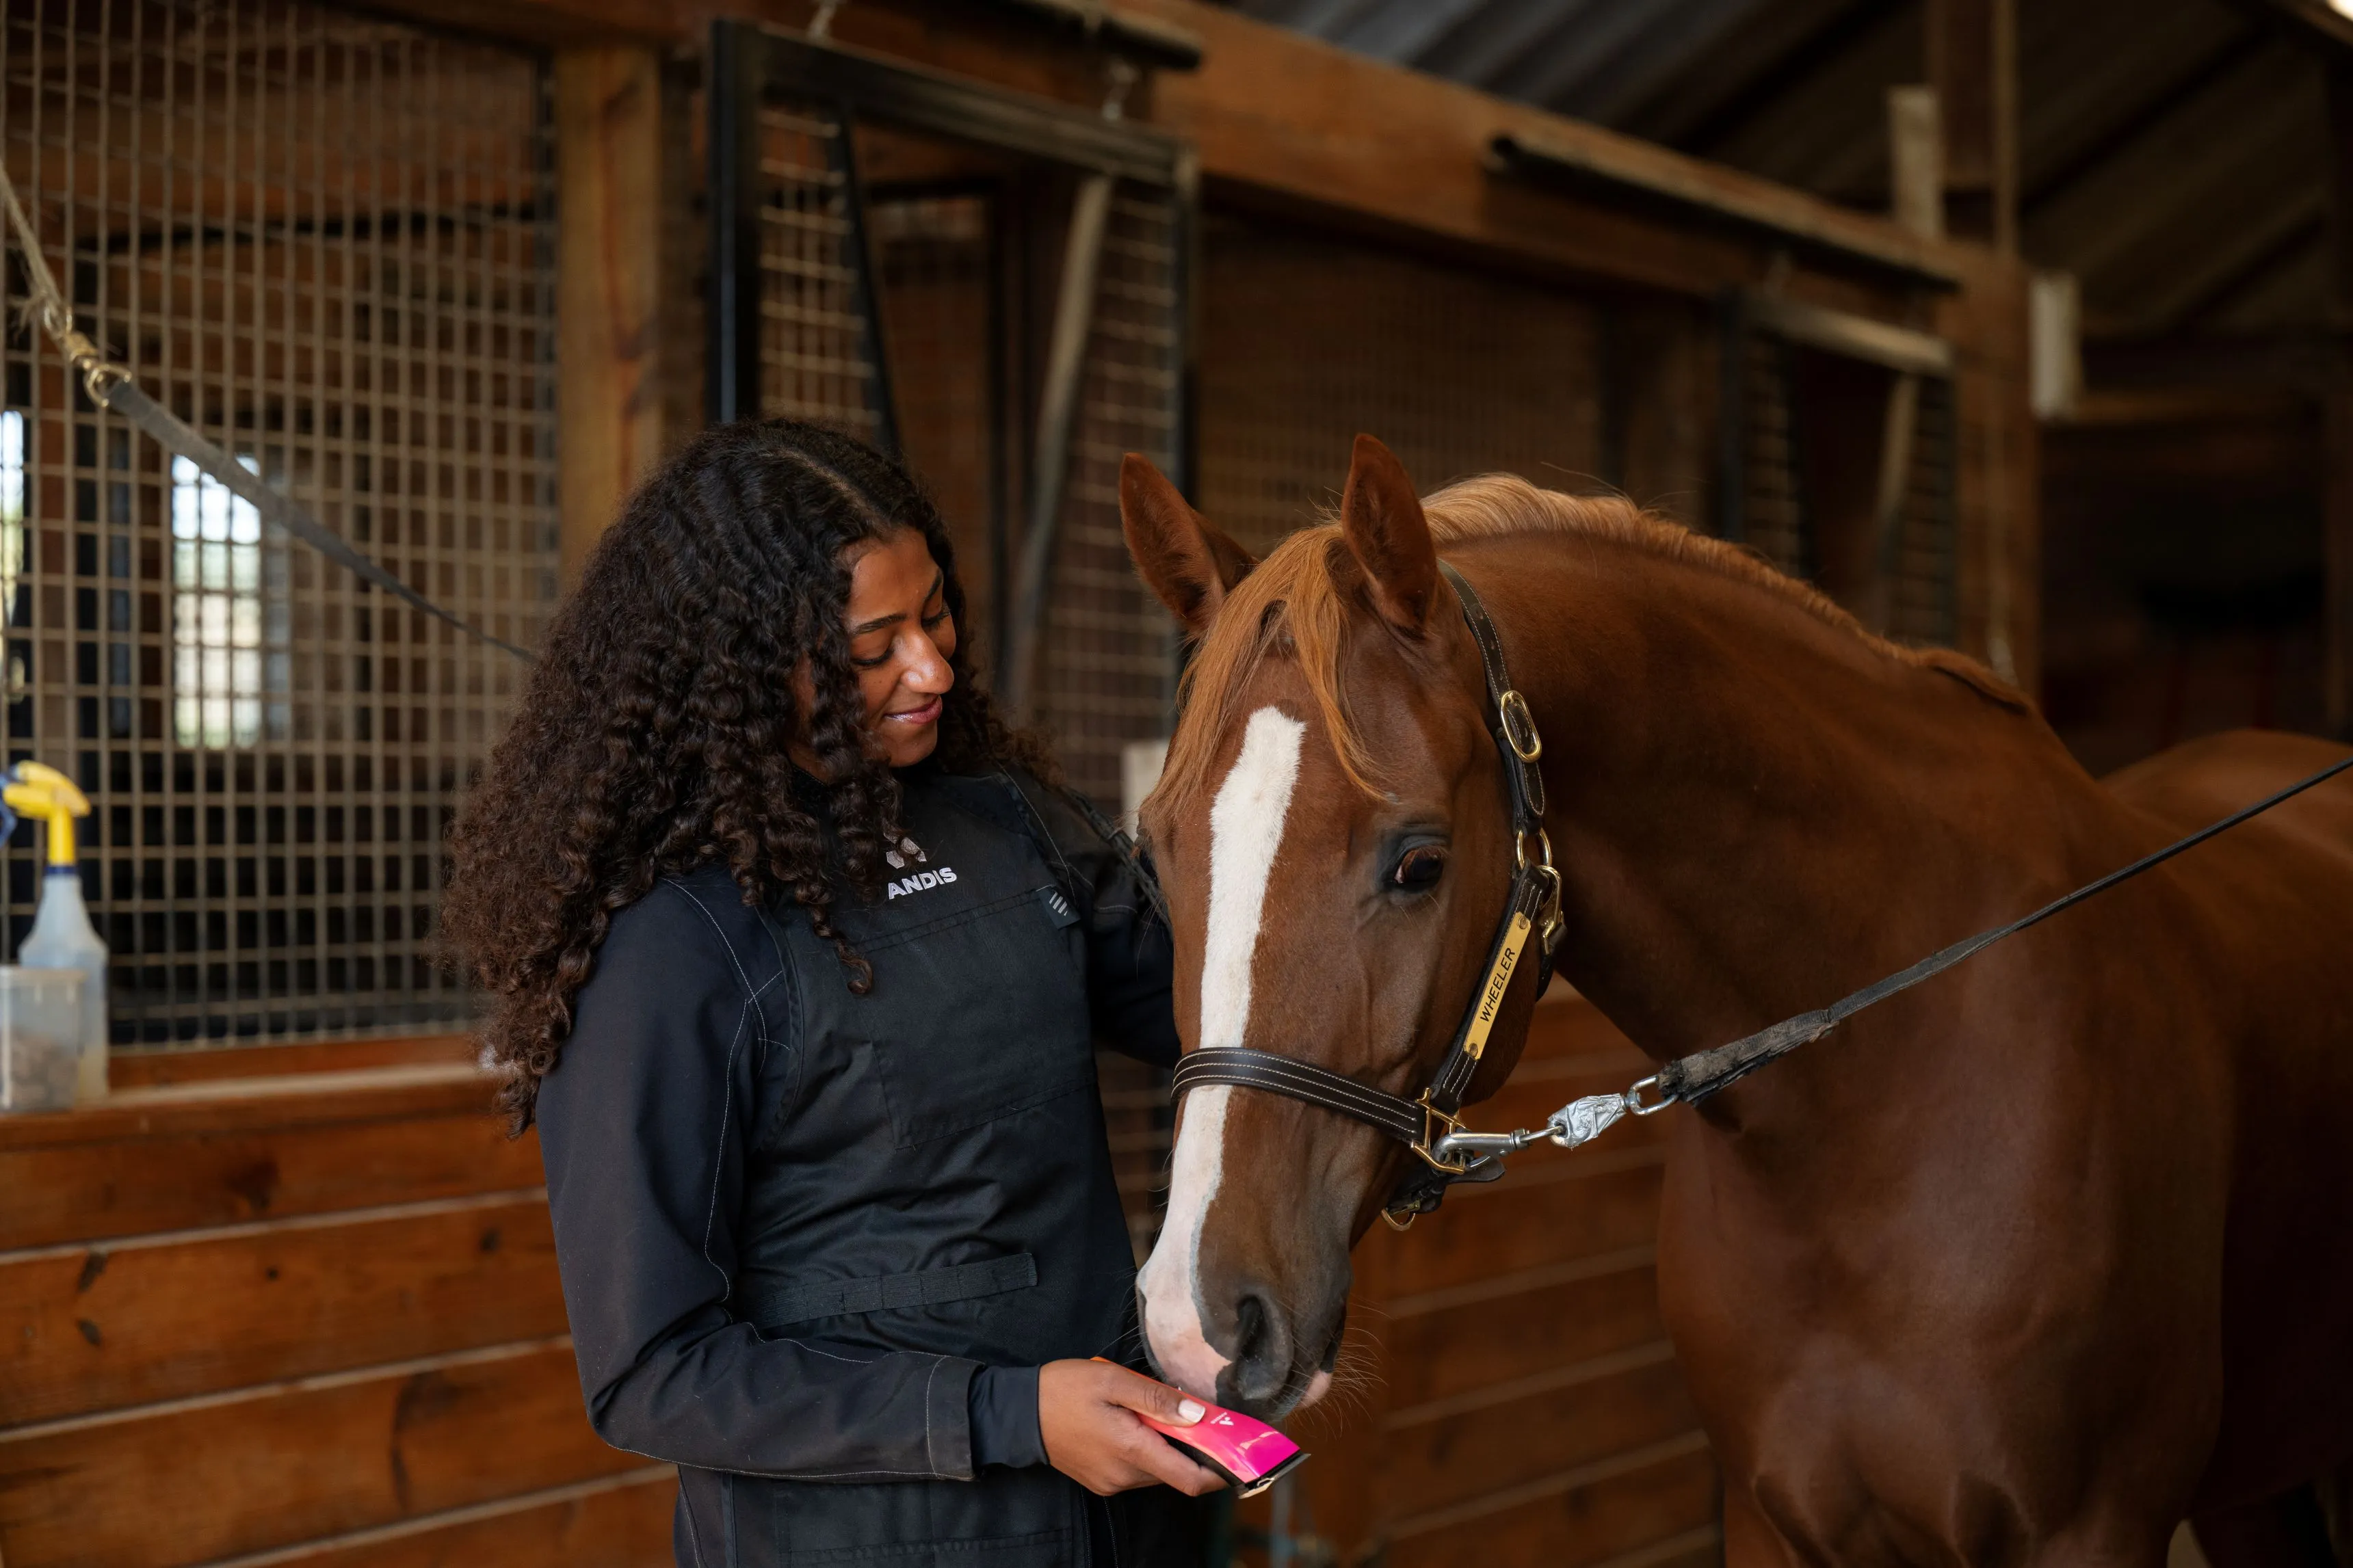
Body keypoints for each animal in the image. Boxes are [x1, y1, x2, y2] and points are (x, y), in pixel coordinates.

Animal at [1118, 434, 2353, 1568]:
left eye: (1417, 861)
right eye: (1155, 855)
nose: (1198, 1318)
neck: (1877, 1113)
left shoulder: (2087, 1531)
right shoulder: (1773, 1519)